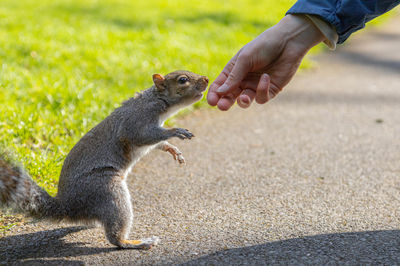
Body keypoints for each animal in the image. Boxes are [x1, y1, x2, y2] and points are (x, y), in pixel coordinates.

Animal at [0, 70, 208, 249]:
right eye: (182, 80)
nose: (206, 79)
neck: (158, 100)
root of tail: (68, 206)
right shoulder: (137, 121)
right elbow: (143, 136)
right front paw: (176, 131)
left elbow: (157, 143)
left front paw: (173, 149)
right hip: (106, 189)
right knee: (115, 236)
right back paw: (135, 242)